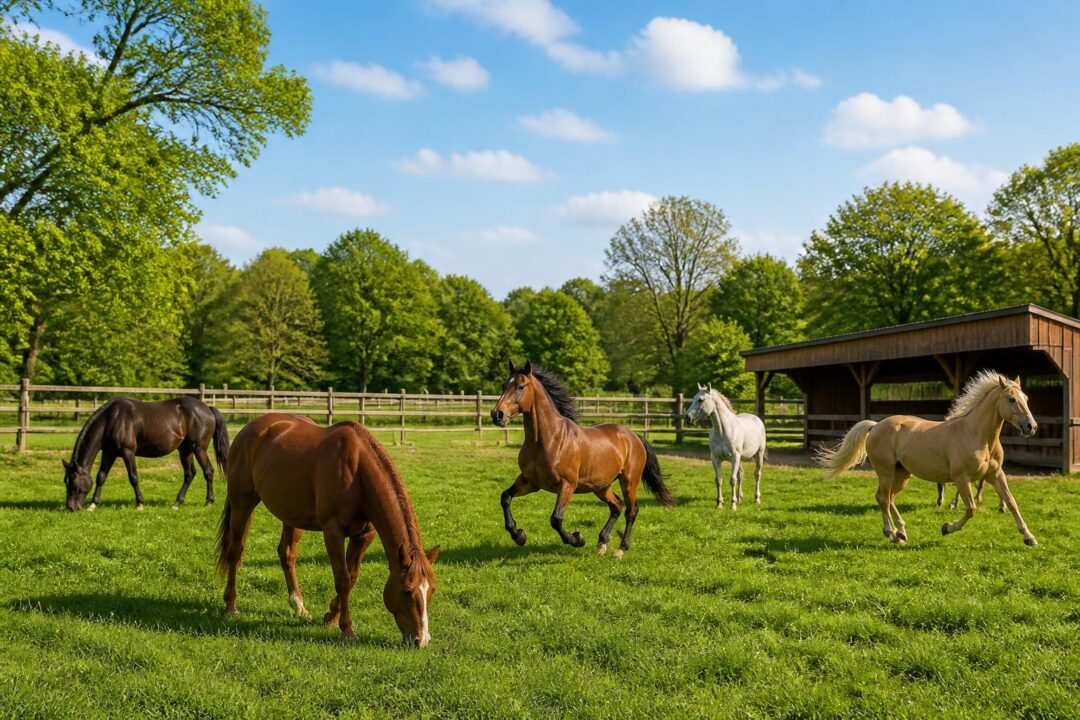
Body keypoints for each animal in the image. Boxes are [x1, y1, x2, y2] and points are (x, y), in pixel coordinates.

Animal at [62, 396, 230, 512]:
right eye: (66, 481)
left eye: (74, 481)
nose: (70, 507)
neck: (112, 419)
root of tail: (207, 408)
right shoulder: (109, 453)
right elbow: (101, 477)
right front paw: (93, 504)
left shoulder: (128, 452)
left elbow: (133, 477)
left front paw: (140, 504)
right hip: (185, 450)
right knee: (189, 474)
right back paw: (177, 503)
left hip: (199, 449)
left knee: (208, 472)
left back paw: (209, 501)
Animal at [217, 414, 440, 647]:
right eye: (406, 590)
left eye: (432, 589)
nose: (421, 640)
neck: (357, 470)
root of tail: (250, 428)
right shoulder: (333, 532)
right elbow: (342, 579)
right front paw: (347, 629)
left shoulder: (364, 536)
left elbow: (352, 576)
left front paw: (331, 617)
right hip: (242, 505)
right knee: (235, 552)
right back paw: (231, 606)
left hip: (292, 515)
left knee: (287, 554)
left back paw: (299, 606)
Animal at [490, 360, 674, 558]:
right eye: (504, 385)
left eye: (521, 386)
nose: (497, 414)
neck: (547, 440)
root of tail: (634, 437)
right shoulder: (530, 482)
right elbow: (505, 497)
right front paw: (519, 535)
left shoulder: (567, 484)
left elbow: (556, 519)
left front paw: (577, 539)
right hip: (600, 485)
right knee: (616, 505)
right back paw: (602, 544)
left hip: (629, 481)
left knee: (631, 511)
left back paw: (620, 550)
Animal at [817, 371, 1039, 546]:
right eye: (1011, 399)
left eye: (1026, 398)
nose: (1031, 427)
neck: (976, 435)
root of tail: (875, 426)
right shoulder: (961, 478)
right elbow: (971, 509)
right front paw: (946, 528)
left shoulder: (995, 475)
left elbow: (1011, 502)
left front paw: (1029, 537)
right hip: (886, 472)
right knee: (883, 499)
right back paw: (892, 534)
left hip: (901, 474)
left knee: (888, 498)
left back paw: (901, 532)